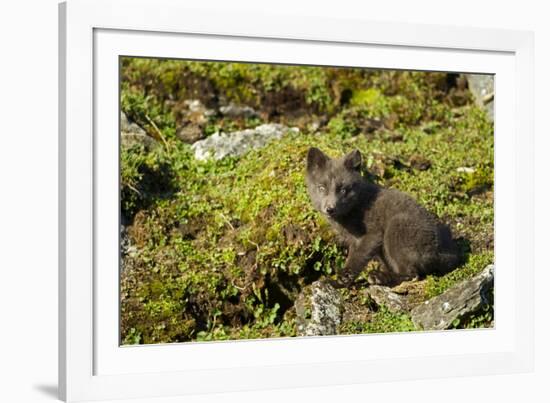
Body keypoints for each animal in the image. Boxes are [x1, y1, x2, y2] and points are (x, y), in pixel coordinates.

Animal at [306, 148, 462, 288]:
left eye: (343, 190)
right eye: (321, 188)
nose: (330, 209)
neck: (356, 205)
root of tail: (440, 253)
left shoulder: (372, 235)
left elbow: (355, 261)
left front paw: (337, 282)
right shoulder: (355, 240)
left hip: (395, 229)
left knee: (411, 274)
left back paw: (379, 277)